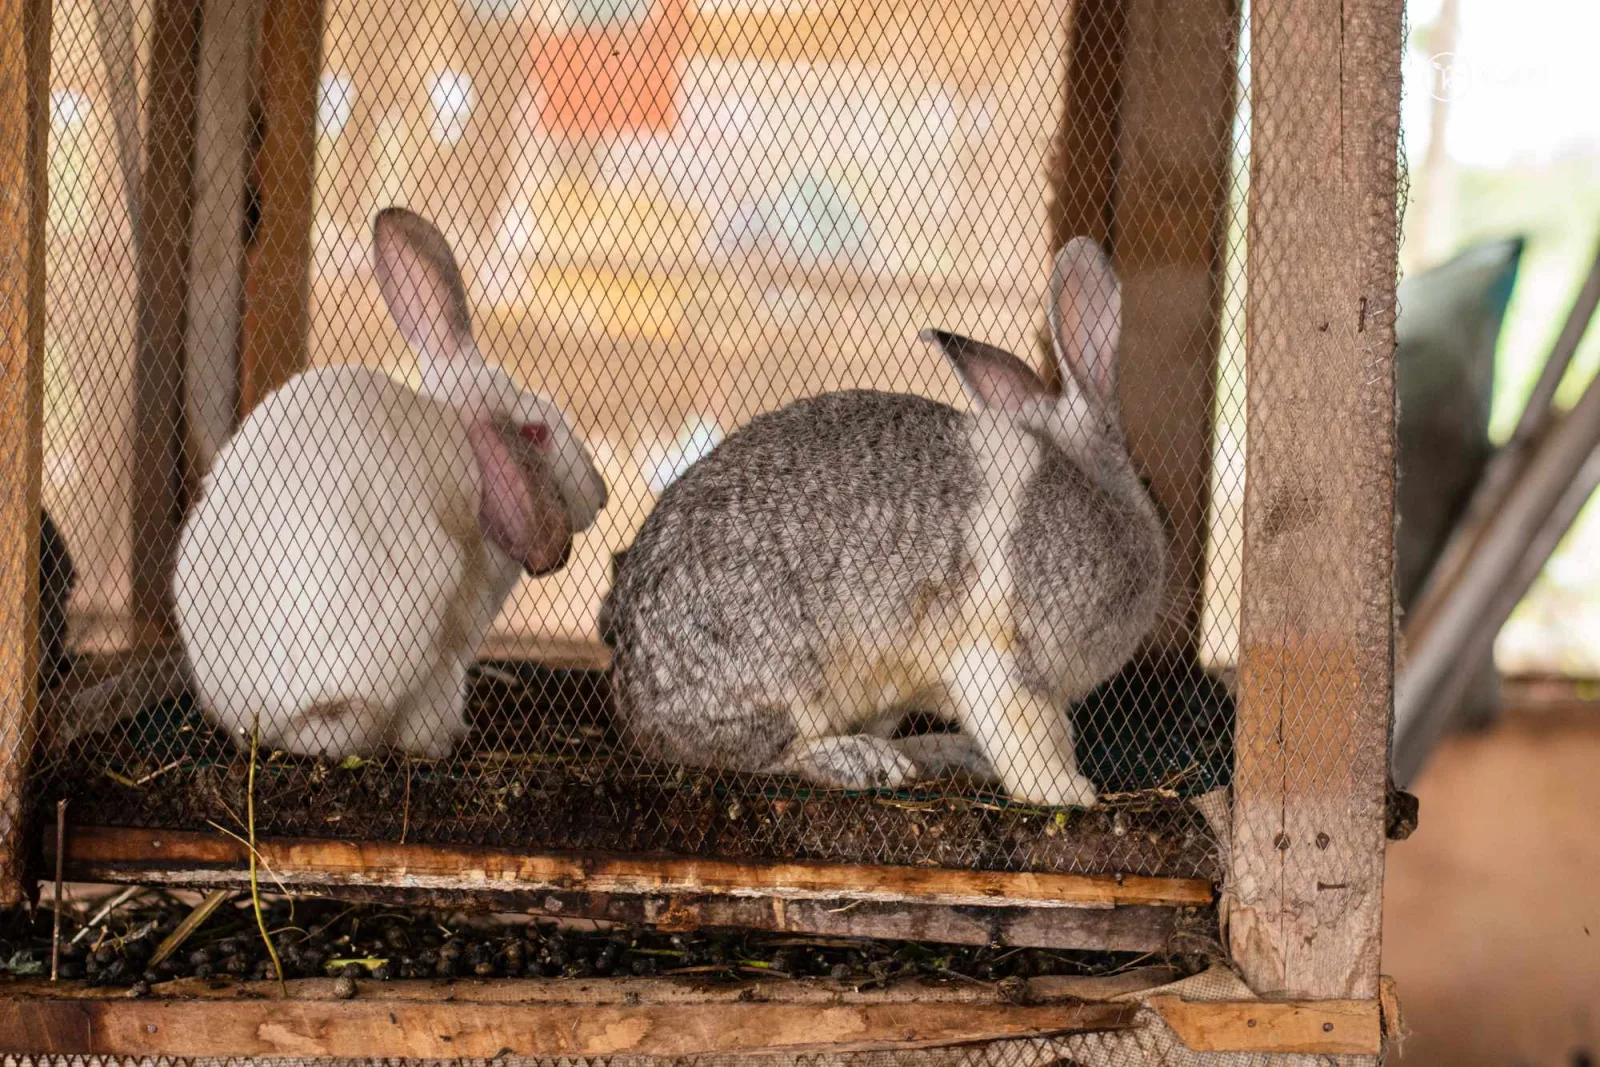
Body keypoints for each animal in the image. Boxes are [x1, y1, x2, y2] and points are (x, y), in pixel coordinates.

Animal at [601, 238, 1166, 808]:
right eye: (1145, 476)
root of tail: (634, 704)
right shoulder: (1000, 662)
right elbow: (1033, 742)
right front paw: (1071, 793)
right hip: (778, 683)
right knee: (770, 756)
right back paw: (866, 762)